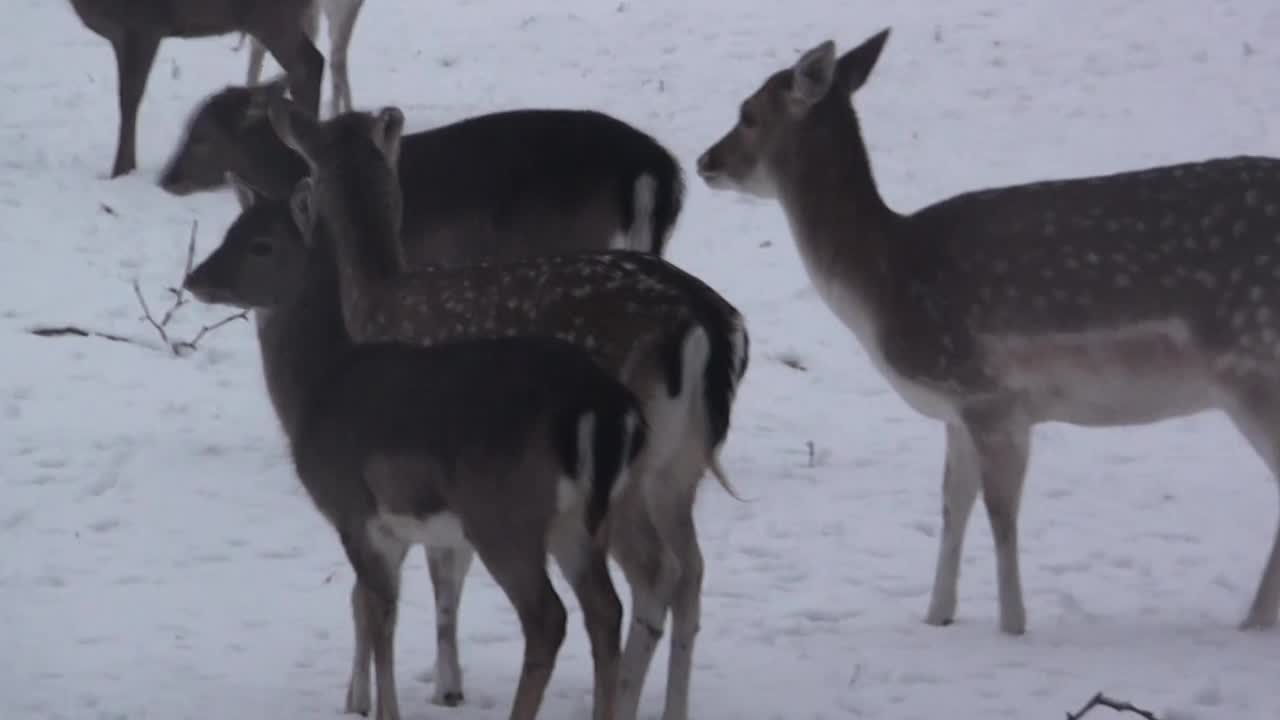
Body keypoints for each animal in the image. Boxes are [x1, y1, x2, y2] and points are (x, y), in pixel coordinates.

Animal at [64, 0, 325, 178]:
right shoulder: (123, 34)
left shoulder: (145, 25)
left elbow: (130, 97)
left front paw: (121, 171)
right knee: (312, 63)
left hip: (271, 16)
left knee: (307, 65)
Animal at [183, 169, 650, 717]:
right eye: (230, 230)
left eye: (262, 244)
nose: (195, 278)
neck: (318, 386)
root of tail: (605, 405)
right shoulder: (399, 527)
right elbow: (371, 608)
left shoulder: (354, 509)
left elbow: (379, 613)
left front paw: (383, 708)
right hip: (585, 518)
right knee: (606, 608)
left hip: (504, 512)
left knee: (548, 617)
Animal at [696, 26, 1280, 632]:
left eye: (748, 113)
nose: (704, 160)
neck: (884, 284)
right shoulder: (956, 410)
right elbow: (953, 505)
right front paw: (937, 616)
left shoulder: (989, 394)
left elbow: (1001, 514)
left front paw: (1012, 625)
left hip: (1253, 363)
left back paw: (1254, 621)